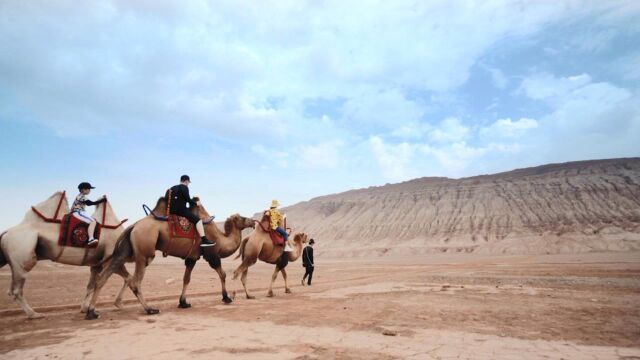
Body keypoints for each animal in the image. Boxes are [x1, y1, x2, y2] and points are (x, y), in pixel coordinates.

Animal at [0, 191, 130, 318]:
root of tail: (5, 232)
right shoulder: (112, 259)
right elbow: (127, 278)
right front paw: (118, 304)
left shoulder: (96, 264)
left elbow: (91, 285)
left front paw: (85, 308)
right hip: (22, 257)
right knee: (16, 290)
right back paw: (34, 314)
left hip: (12, 260)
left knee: (11, 290)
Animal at [85, 198, 255, 320]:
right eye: (242, 217)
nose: (253, 222)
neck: (220, 239)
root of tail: (133, 226)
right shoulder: (211, 254)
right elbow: (222, 274)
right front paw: (226, 298)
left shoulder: (192, 258)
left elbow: (186, 279)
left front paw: (183, 302)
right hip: (144, 253)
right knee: (135, 281)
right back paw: (150, 309)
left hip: (126, 251)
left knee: (104, 276)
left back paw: (92, 312)